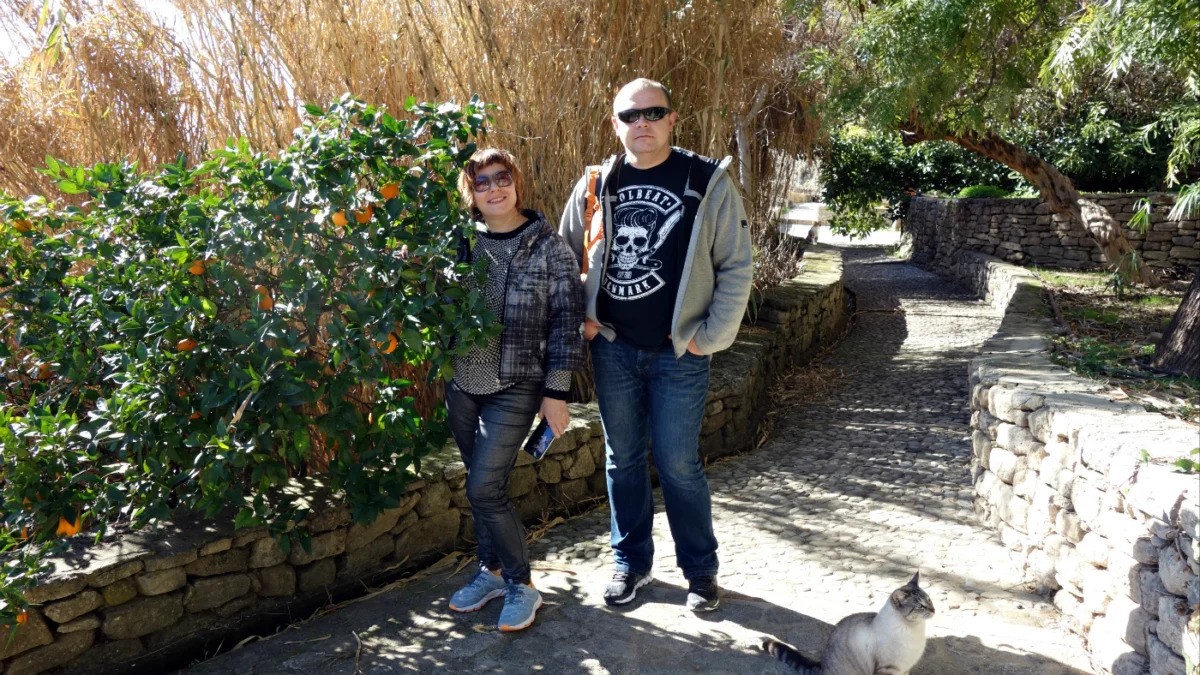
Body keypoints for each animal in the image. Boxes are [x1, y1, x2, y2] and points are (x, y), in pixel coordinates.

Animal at [762, 572, 935, 675]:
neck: (914, 629)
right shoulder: (887, 669)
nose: (934, 610)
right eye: (920, 606)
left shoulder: (903, 670)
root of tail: (822, 666)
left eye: (929, 600)